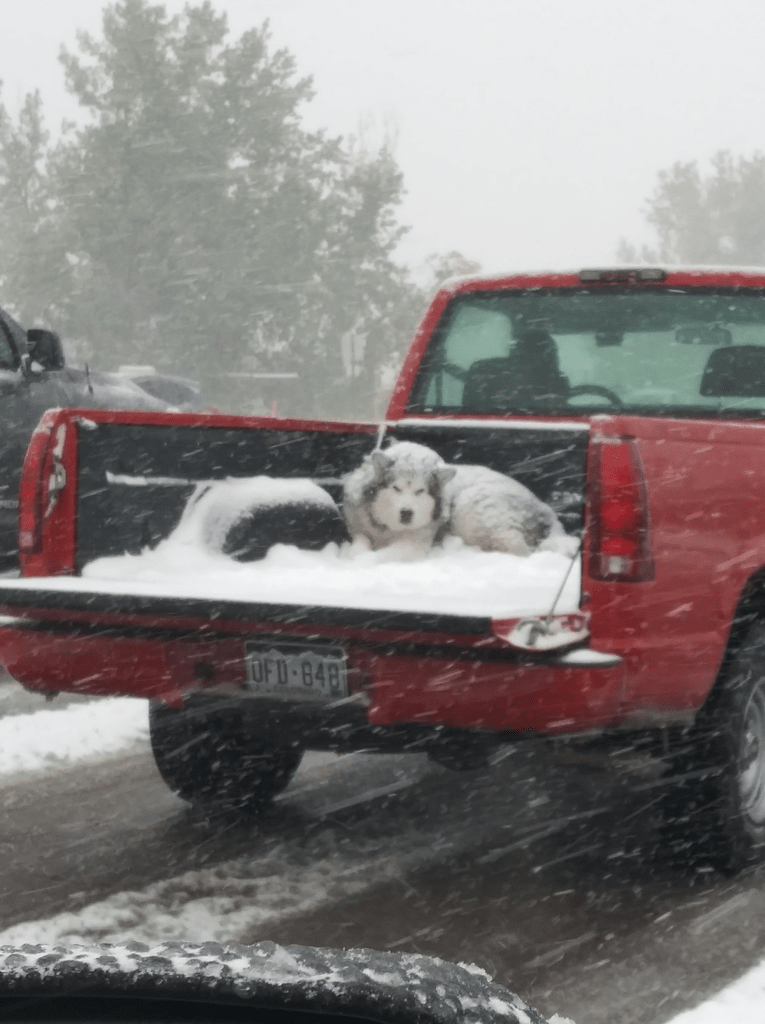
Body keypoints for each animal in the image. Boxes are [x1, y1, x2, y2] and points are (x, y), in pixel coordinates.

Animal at [342, 436, 573, 557]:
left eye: (420, 491)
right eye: (396, 488)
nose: (406, 513)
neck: (386, 528)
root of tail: (545, 510)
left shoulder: (413, 544)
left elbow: (382, 556)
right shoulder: (359, 529)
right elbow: (360, 546)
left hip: (469, 504)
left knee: (517, 545)